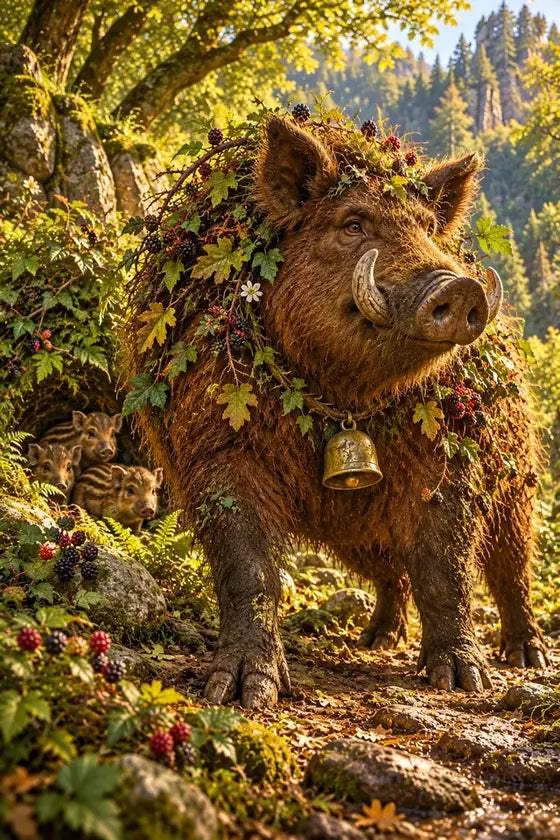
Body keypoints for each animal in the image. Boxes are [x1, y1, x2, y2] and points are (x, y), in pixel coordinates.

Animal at [128, 115, 546, 709]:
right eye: (353, 224)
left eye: (426, 227)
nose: (462, 286)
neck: (342, 402)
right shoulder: (216, 448)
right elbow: (248, 569)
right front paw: (241, 694)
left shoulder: (450, 460)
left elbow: (444, 564)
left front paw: (465, 683)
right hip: (356, 535)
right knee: (392, 573)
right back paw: (376, 639)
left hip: (517, 484)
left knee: (512, 566)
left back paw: (526, 658)